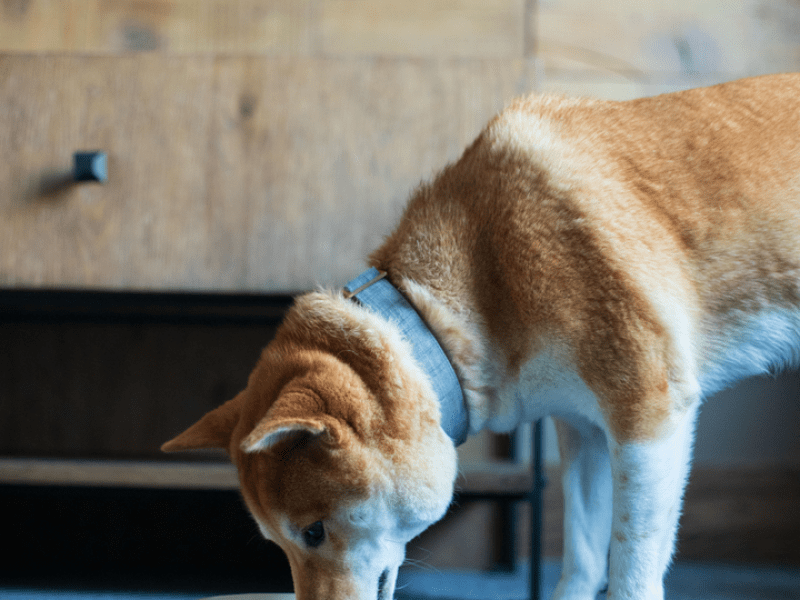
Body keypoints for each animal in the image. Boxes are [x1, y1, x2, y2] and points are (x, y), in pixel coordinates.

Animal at [162, 75, 800, 600]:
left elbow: (630, 572)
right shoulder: (586, 431)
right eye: (278, 543)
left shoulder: (648, 421)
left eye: (314, 531)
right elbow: (583, 561)